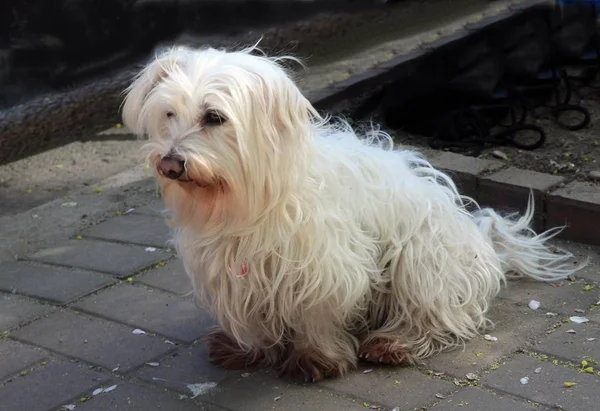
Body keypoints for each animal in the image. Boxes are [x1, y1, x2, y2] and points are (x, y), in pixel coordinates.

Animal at [120, 45, 580, 384]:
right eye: (169, 114)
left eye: (214, 117)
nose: (170, 164)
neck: (252, 199)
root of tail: (478, 235)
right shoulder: (235, 270)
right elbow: (251, 315)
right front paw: (249, 348)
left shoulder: (326, 266)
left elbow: (317, 312)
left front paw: (316, 357)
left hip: (422, 259)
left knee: (438, 315)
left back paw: (396, 342)